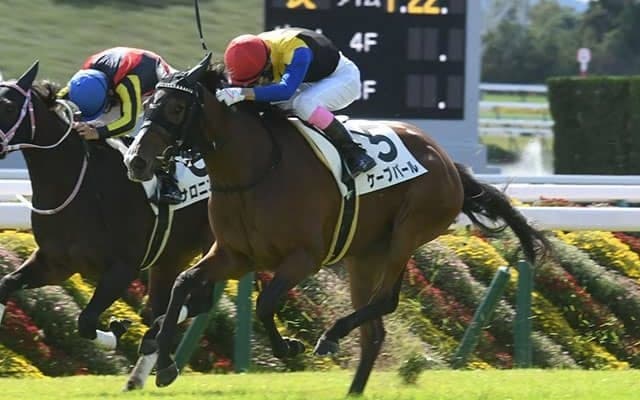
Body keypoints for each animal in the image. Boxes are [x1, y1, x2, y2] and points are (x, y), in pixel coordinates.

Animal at [0, 62, 215, 389]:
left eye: (8, 106)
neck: (80, 185)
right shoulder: (55, 262)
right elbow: (6, 284)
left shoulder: (123, 268)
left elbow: (86, 321)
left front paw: (117, 330)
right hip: (169, 258)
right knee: (163, 304)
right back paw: (144, 373)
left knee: (199, 300)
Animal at [125, 53, 550, 395]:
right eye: (150, 103)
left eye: (177, 108)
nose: (136, 161)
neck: (255, 169)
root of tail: (447, 161)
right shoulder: (234, 255)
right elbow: (181, 285)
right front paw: (164, 362)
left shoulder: (304, 257)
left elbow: (264, 303)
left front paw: (288, 346)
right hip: (365, 256)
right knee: (374, 331)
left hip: (409, 232)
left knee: (386, 300)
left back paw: (331, 336)